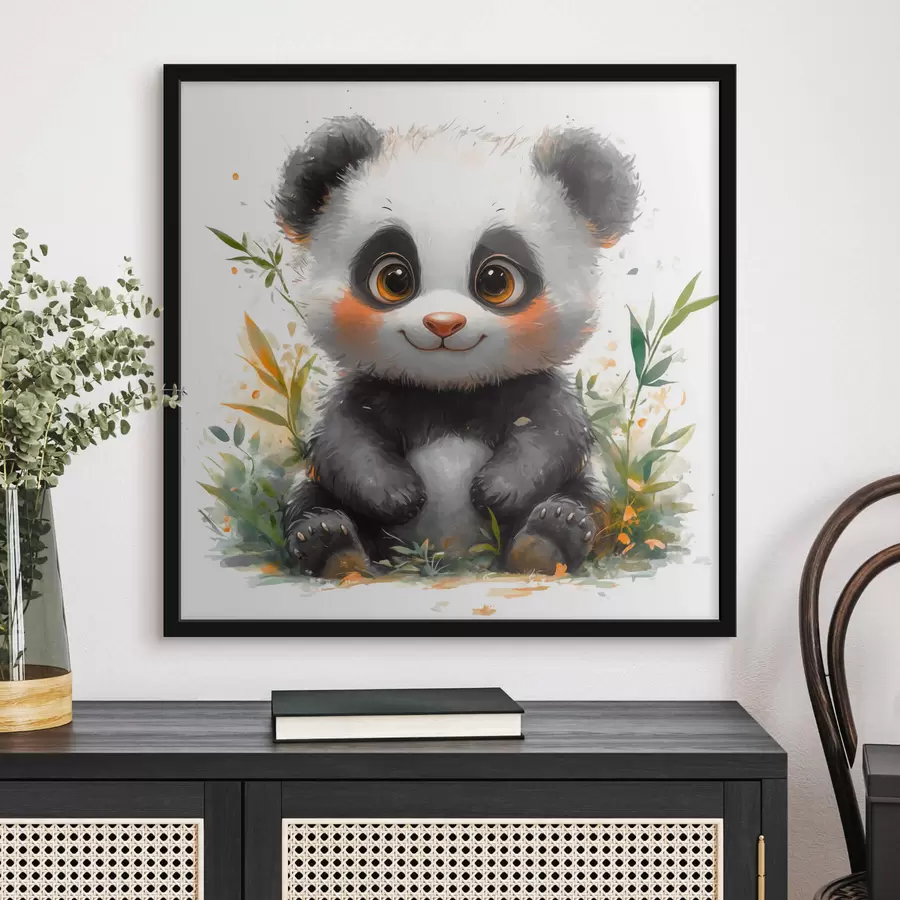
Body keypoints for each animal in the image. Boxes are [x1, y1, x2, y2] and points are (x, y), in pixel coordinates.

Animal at [275, 117, 640, 580]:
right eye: (394, 279)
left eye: (496, 280)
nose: (443, 323)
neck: (448, 393)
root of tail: (453, 559)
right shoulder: (372, 387)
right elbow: (344, 439)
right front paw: (399, 495)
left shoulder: (530, 385)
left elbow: (553, 433)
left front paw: (495, 490)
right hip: (326, 497)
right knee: (309, 499)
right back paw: (330, 544)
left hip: (584, 493)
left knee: (586, 498)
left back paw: (549, 536)